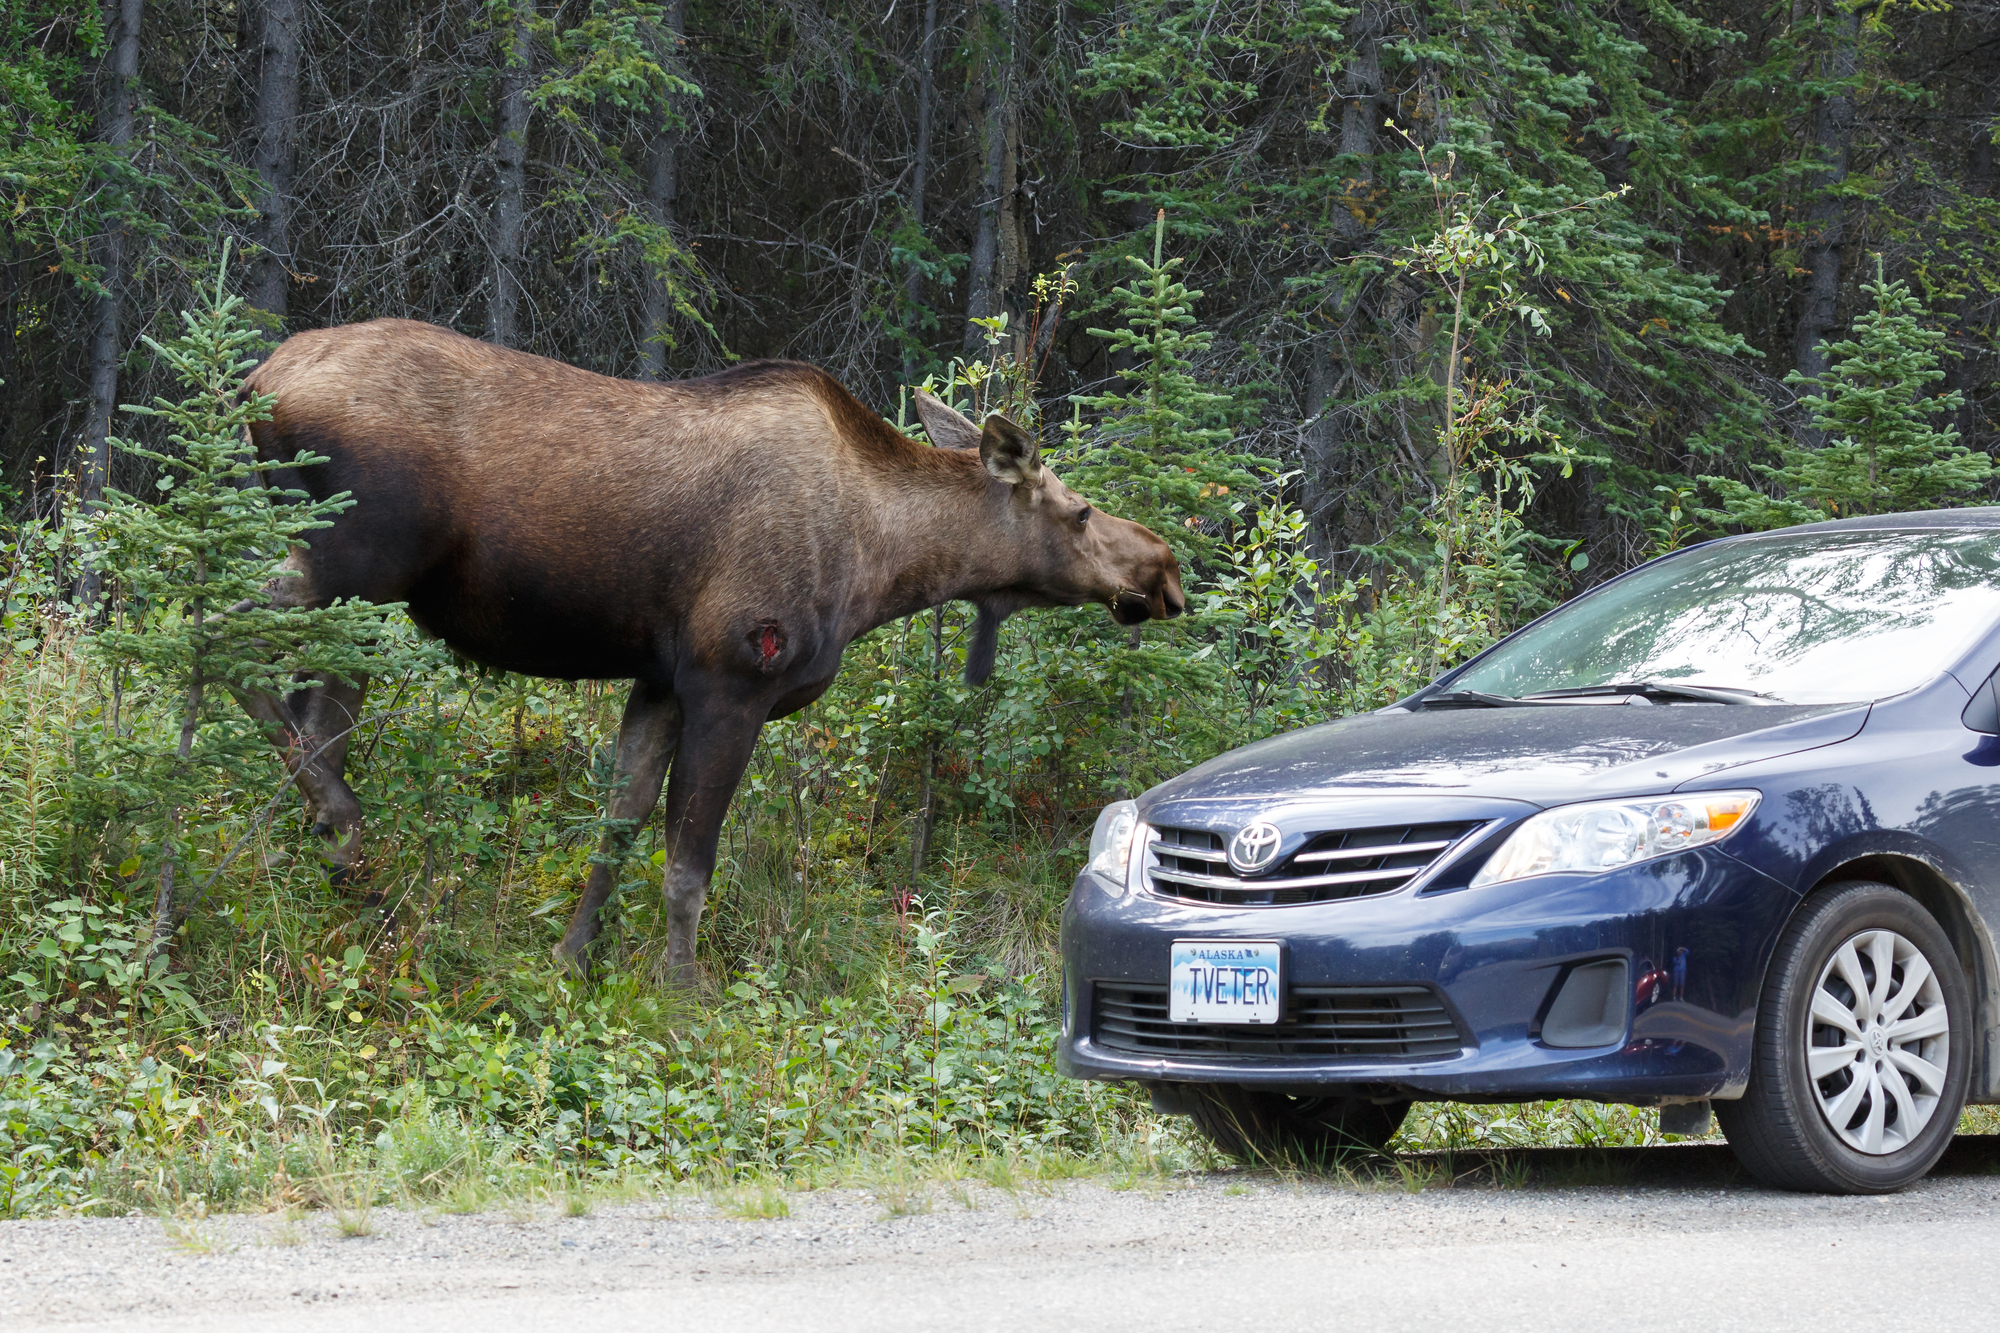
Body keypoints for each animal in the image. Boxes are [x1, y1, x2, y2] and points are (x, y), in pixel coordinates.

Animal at [240, 322, 1176, 976]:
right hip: (348, 557)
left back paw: (338, 863)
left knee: (311, 705)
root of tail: (257, 382)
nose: (1164, 567)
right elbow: (688, 865)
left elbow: (616, 829)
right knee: (221, 628)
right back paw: (339, 820)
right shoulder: (734, 674)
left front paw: (572, 959)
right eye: (1079, 512)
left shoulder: (659, 681)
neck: (883, 565)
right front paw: (681, 993)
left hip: (357, 585)